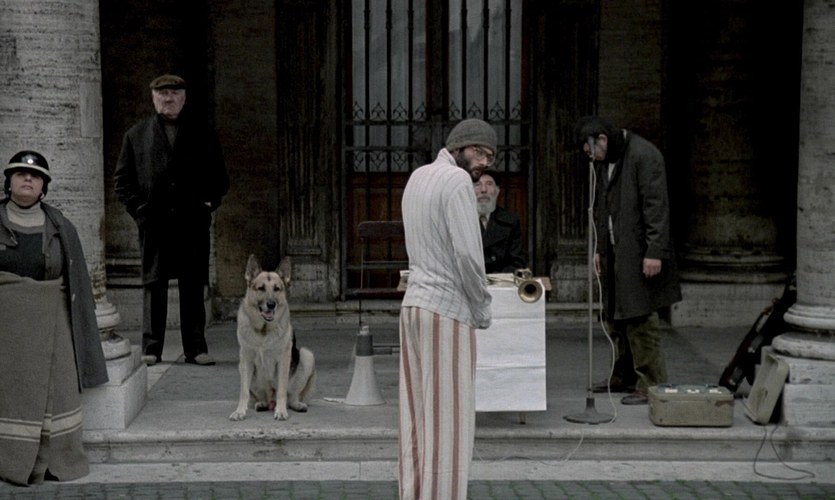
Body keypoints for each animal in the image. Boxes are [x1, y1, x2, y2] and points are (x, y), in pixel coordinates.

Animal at [229, 254, 316, 421]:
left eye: (277, 289)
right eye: (261, 288)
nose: (271, 304)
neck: (263, 331)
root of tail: (270, 400)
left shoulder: (283, 360)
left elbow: (282, 390)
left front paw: (281, 411)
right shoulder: (246, 359)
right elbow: (244, 392)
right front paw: (240, 411)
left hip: (307, 356)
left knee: (291, 396)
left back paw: (295, 405)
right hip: (241, 367)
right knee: (261, 397)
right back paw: (262, 403)